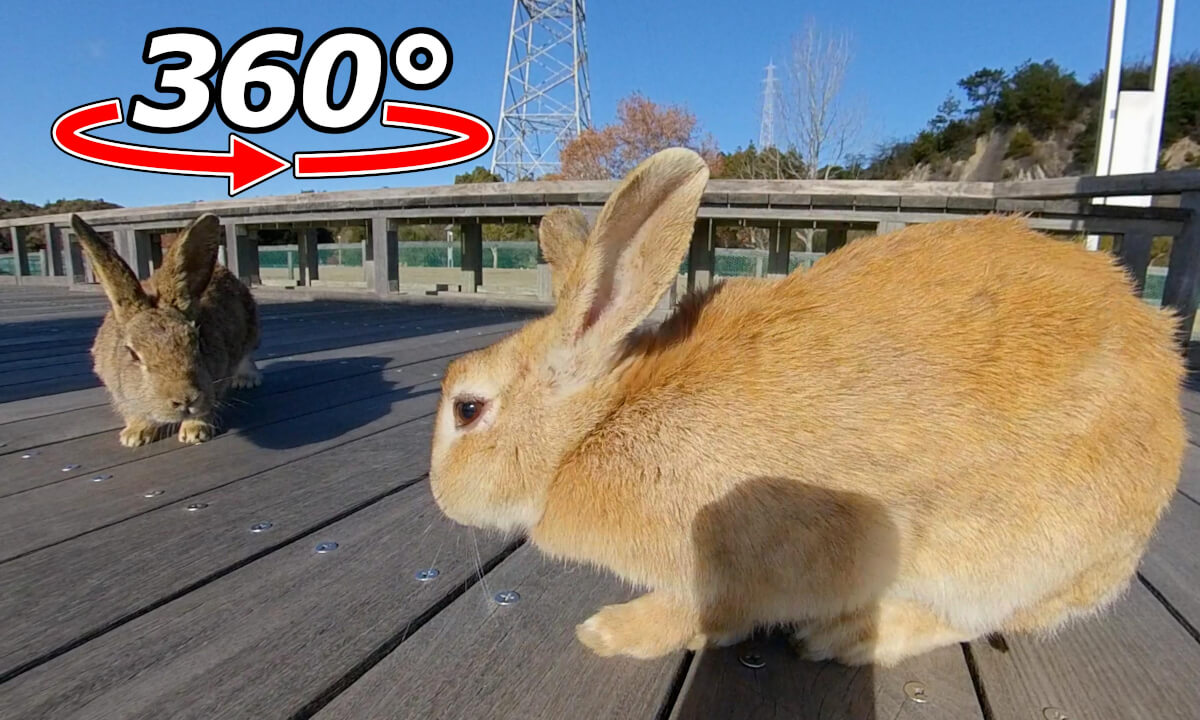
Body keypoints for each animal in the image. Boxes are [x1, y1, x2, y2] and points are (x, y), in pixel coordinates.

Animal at [70, 213, 261, 447]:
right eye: (133, 354)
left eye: (198, 342)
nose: (186, 399)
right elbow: (134, 411)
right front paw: (134, 435)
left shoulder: (216, 380)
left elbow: (206, 408)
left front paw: (194, 431)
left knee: (247, 355)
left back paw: (246, 379)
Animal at [428, 147, 1185, 666]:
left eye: (467, 409)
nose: (438, 496)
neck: (594, 429)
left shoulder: (726, 574)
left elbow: (700, 617)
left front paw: (607, 633)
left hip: (1001, 558)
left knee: (971, 617)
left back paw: (843, 638)